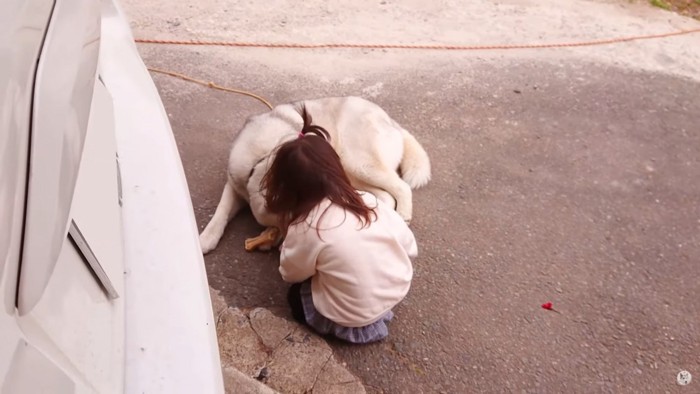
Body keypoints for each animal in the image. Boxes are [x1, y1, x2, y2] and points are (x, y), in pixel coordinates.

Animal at [197, 97, 432, 254]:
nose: (283, 246)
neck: (263, 157)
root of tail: (394, 123)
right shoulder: (234, 183)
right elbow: (221, 211)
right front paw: (205, 238)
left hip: (357, 163)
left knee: (401, 187)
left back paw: (402, 215)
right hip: (350, 173)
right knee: (384, 196)